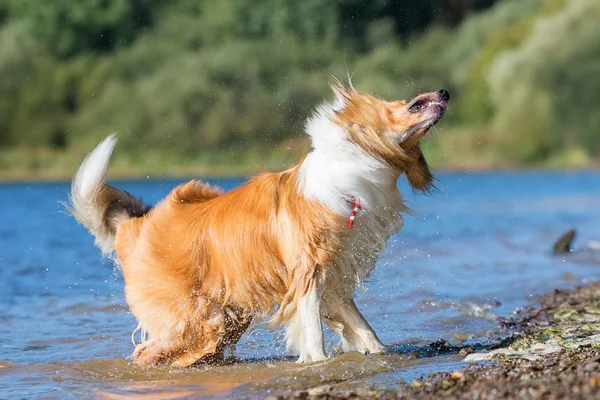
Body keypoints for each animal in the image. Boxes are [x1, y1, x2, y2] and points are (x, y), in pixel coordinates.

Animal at [68, 76, 448, 368]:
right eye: (411, 104)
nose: (444, 92)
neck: (353, 166)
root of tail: (136, 226)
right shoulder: (308, 272)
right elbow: (313, 332)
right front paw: (317, 362)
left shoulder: (335, 277)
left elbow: (366, 330)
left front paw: (380, 353)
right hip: (196, 319)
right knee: (147, 352)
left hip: (227, 316)